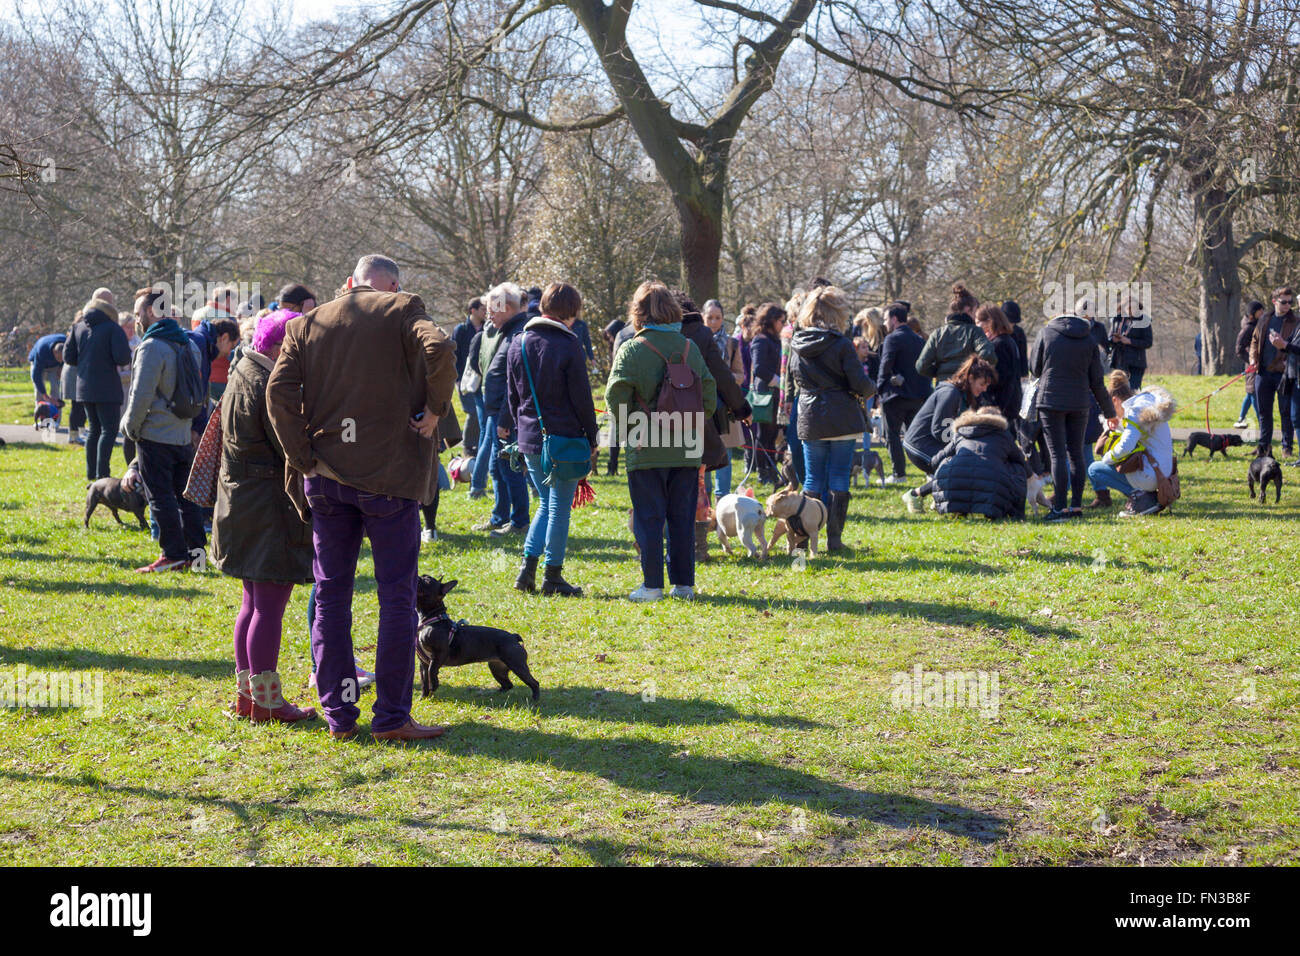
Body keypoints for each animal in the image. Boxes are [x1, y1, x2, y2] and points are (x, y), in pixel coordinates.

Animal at [416, 574, 538, 702]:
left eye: (427, 580)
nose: (418, 576)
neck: (431, 619)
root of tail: (514, 637)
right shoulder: (423, 663)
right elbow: (424, 680)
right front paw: (423, 697)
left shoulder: (439, 654)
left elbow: (431, 671)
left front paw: (434, 685)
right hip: (497, 668)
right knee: (507, 684)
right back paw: (491, 693)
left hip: (516, 665)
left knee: (534, 682)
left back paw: (534, 699)